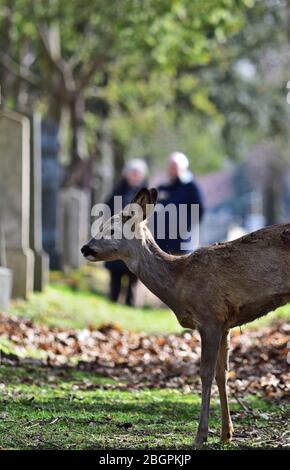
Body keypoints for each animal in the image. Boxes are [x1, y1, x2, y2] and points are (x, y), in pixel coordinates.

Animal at [81, 186, 290, 444]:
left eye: (110, 229)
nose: (85, 248)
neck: (179, 281)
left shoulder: (209, 316)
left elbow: (205, 373)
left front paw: (201, 435)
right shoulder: (225, 323)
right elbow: (222, 373)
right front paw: (226, 434)